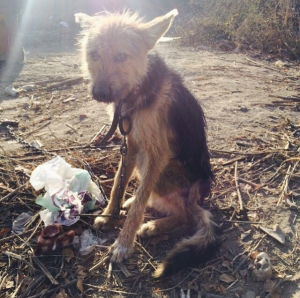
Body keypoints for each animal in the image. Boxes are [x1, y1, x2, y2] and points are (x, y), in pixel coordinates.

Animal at [75, 9, 220, 278]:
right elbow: (118, 185)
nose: (99, 93)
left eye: (121, 56)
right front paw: (110, 215)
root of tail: (197, 199)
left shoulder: (156, 154)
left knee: (183, 215)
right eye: (94, 54)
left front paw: (123, 243)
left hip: (166, 171)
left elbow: (139, 204)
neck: (139, 89)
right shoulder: (131, 143)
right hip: (144, 161)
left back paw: (154, 225)